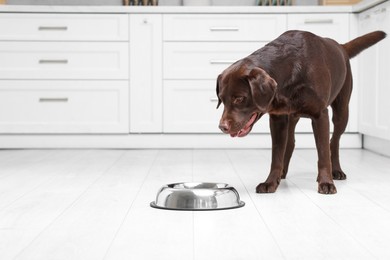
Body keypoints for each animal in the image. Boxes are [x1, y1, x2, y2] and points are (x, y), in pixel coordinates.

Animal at [218, 30, 386, 193]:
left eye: (239, 98)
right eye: (221, 99)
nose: (222, 127)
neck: (290, 71)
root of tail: (341, 46)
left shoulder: (320, 115)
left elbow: (323, 153)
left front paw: (326, 182)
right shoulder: (278, 119)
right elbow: (276, 155)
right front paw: (270, 182)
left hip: (342, 111)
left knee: (334, 141)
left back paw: (336, 170)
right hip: (292, 117)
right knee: (290, 143)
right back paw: (283, 172)